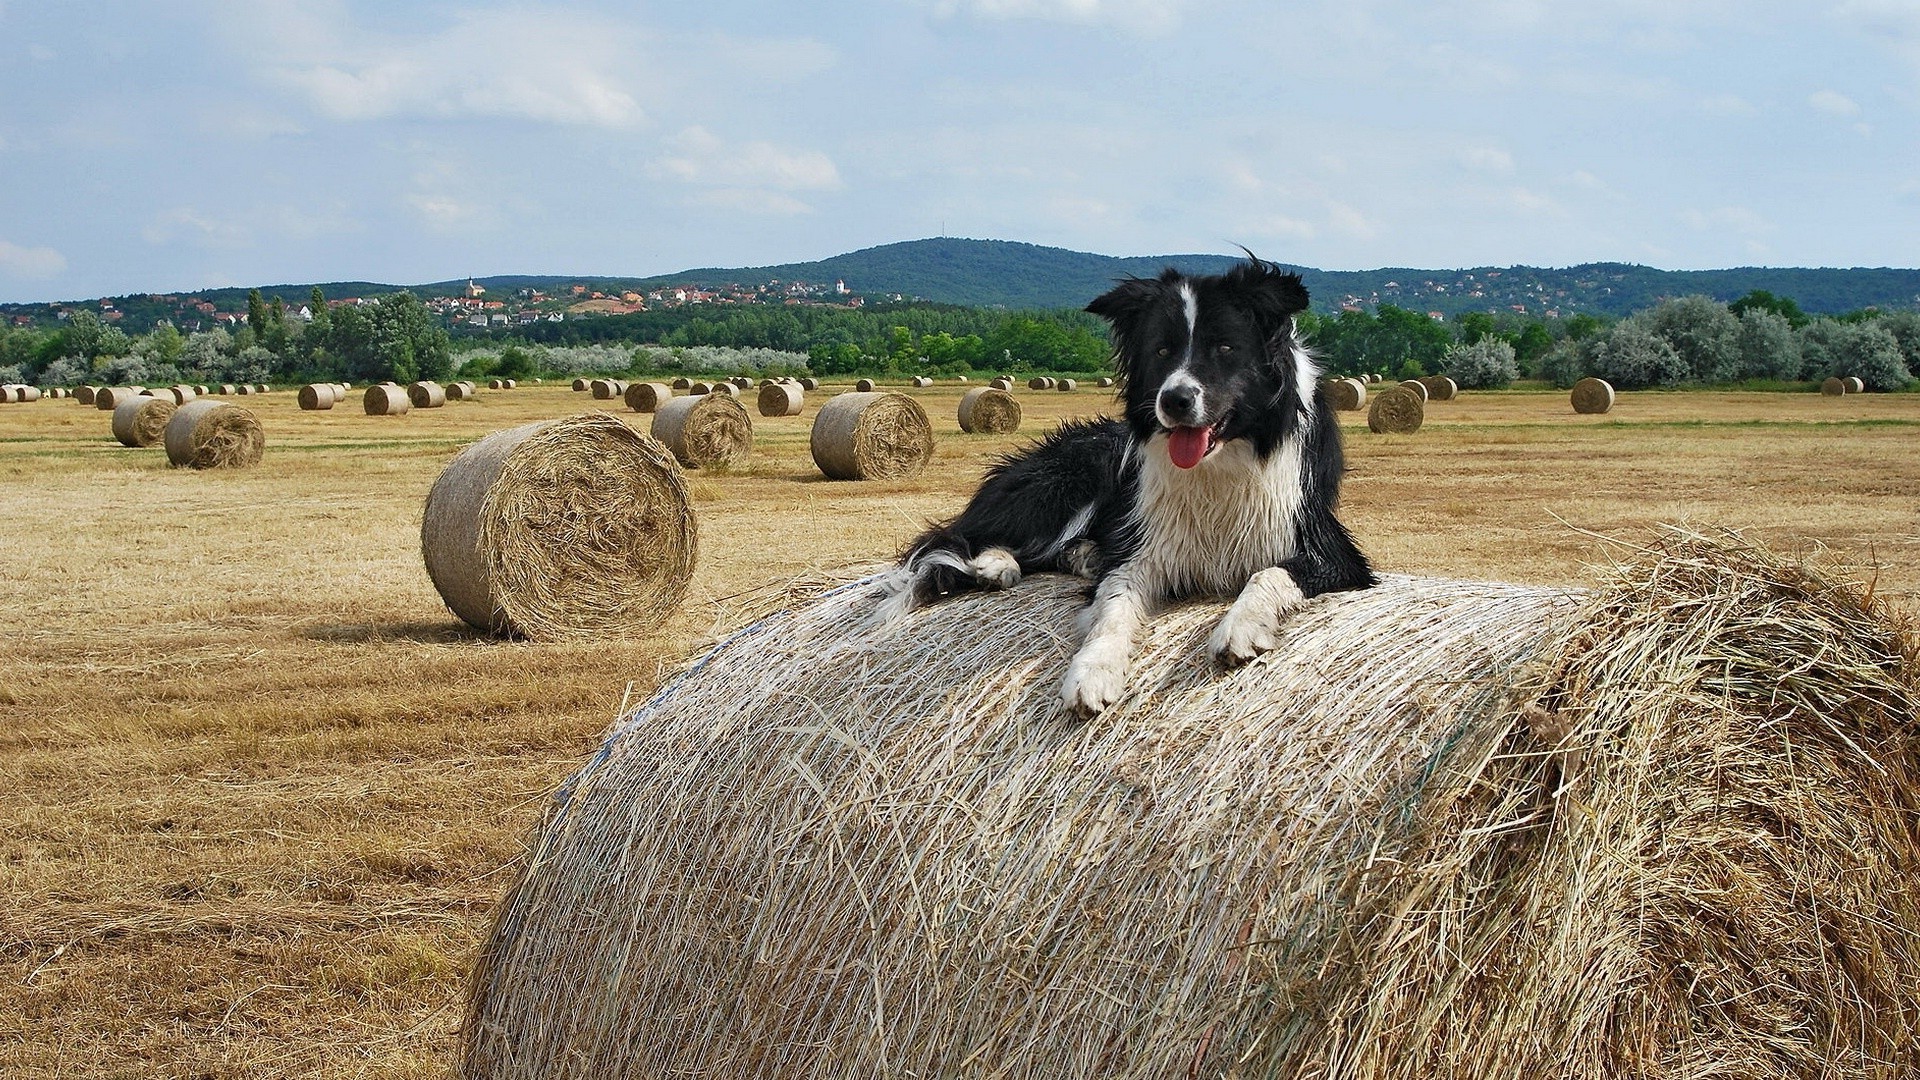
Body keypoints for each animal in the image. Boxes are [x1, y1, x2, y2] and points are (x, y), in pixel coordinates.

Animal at [879, 251, 1374, 714]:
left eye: (1225, 347)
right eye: (1161, 351)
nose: (1174, 400)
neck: (1220, 463)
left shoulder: (1330, 551)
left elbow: (1268, 573)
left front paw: (1239, 627)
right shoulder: (1142, 547)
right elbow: (1113, 606)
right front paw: (1093, 670)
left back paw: (1077, 556)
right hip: (1071, 479)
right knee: (960, 536)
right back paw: (995, 565)